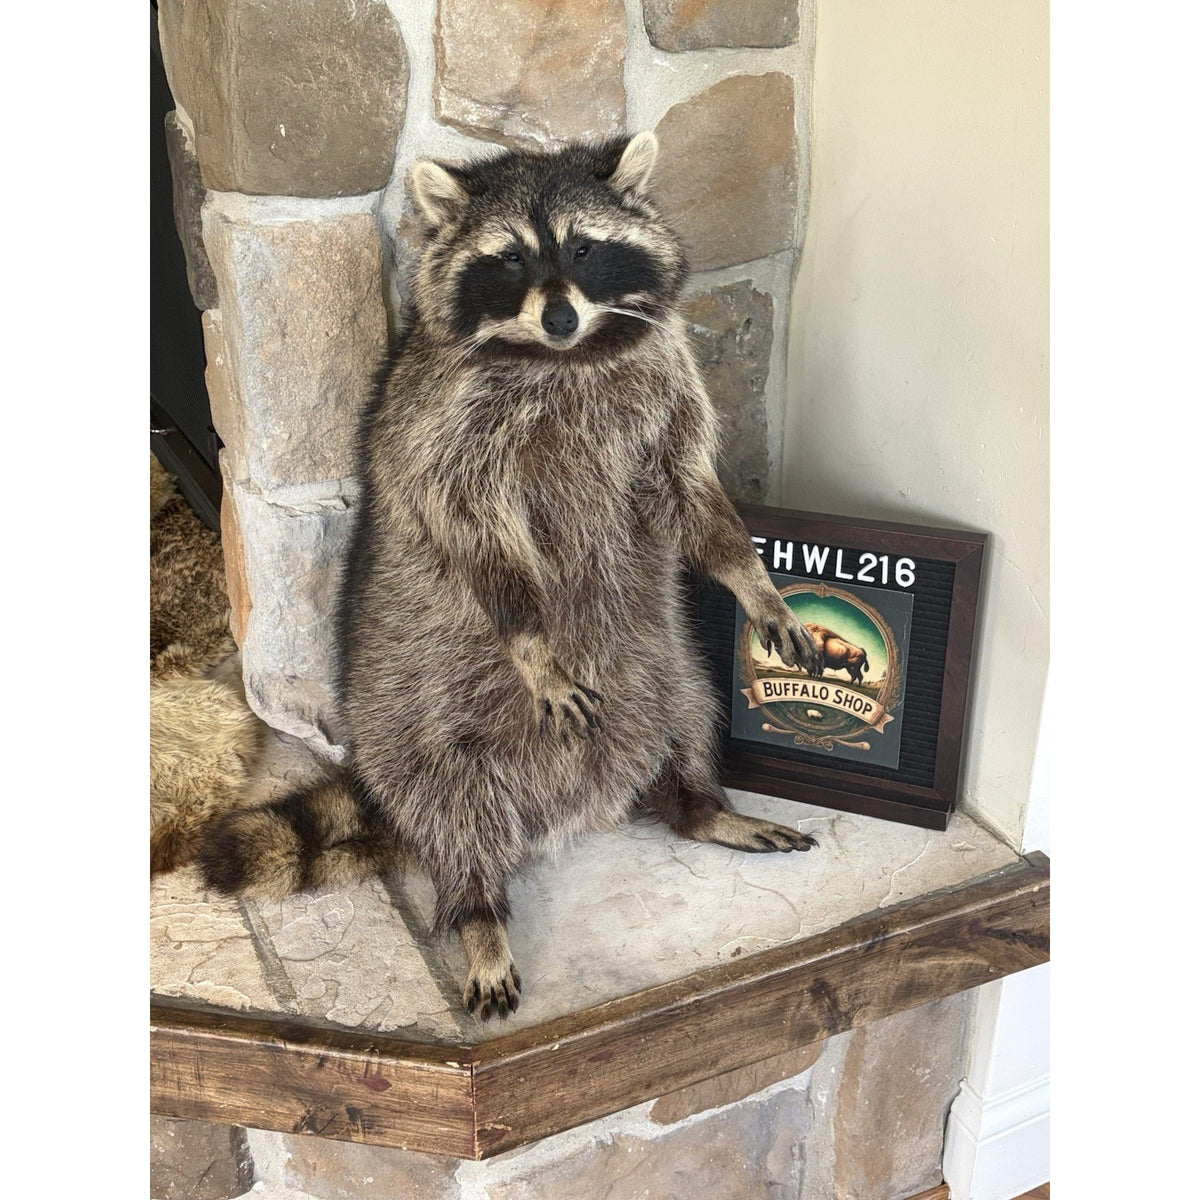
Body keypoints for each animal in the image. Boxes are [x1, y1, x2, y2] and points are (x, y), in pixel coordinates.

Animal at [198, 133, 822, 1020]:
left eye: (584, 249)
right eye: (512, 258)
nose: (559, 315)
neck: (567, 355)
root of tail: (567, 806)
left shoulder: (668, 390)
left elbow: (694, 494)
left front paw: (753, 579)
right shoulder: (446, 431)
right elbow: (478, 539)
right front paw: (533, 643)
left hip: (661, 669)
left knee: (690, 713)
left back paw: (700, 804)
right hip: (418, 728)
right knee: (454, 815)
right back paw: (479, 913)